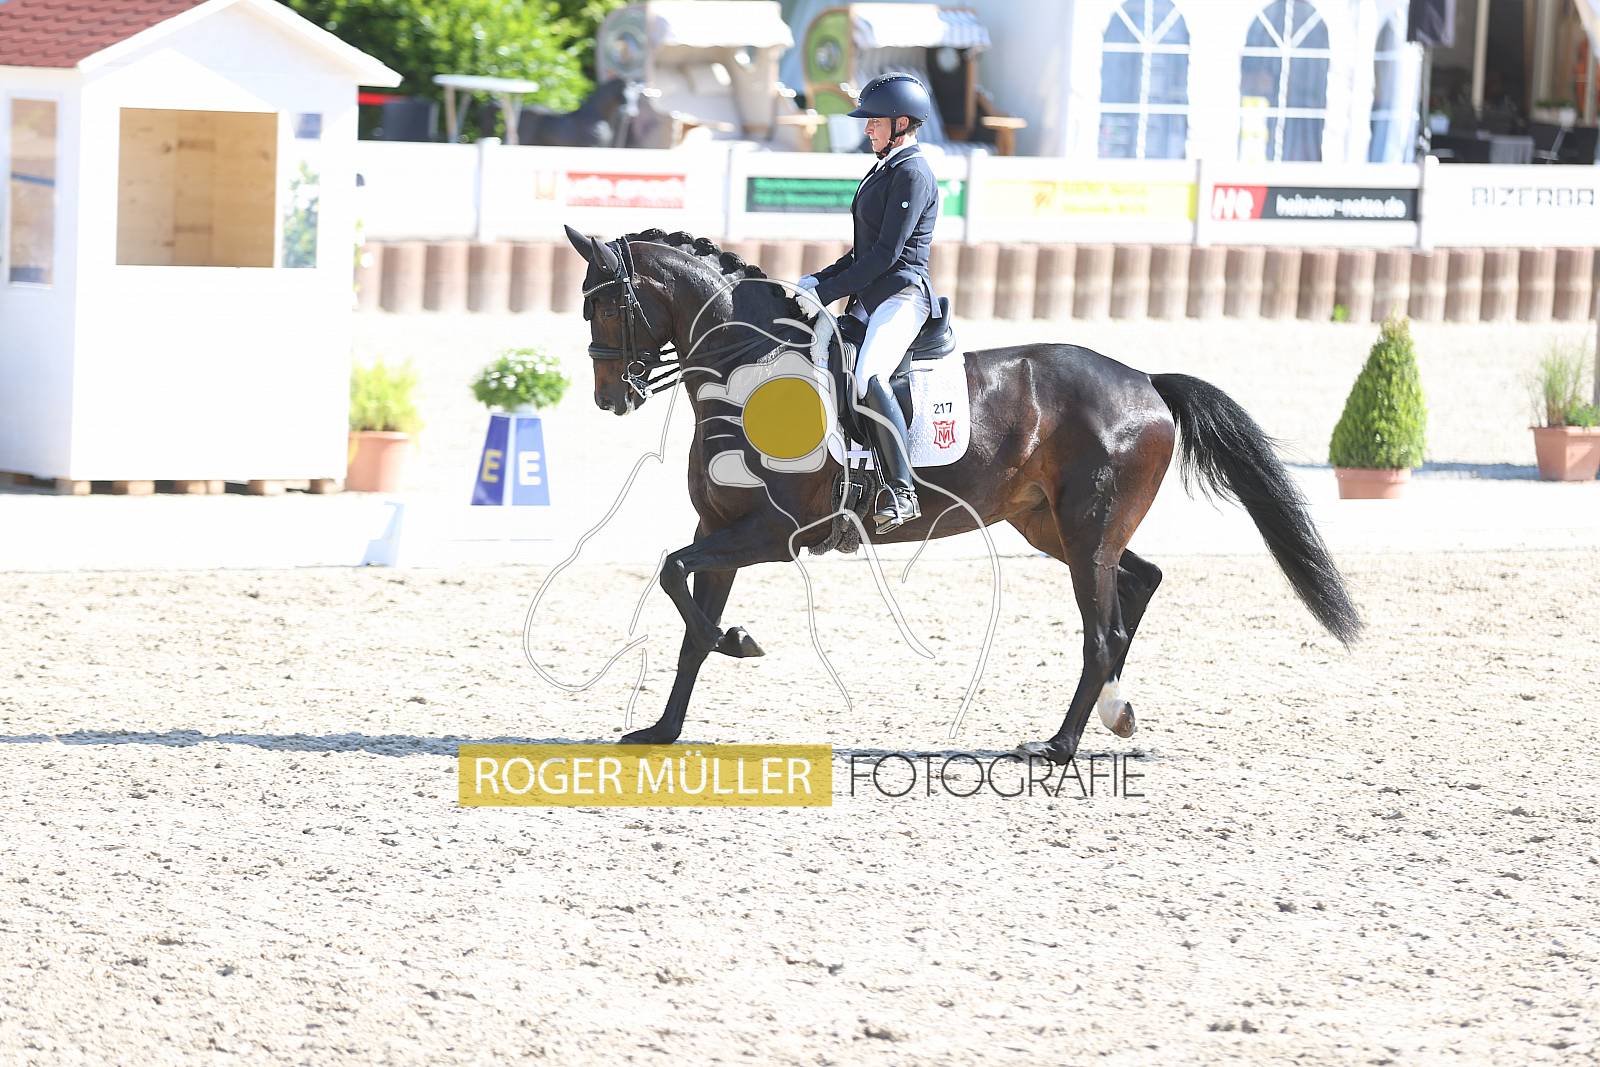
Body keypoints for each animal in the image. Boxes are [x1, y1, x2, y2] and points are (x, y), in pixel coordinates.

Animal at [562, 226, 1363, 765]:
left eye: (608, 308)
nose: (610, 398)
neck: (754, 369)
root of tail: (1145, 381)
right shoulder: (720, 530)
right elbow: (687, 621)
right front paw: (665, 726)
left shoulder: (777, 534)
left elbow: (673, 575)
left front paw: (738, 640)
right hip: (1057, 529)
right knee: (1141, 582)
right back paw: (1115, 713)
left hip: (1085, 533)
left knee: (1101, 631)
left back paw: (1059, 744)